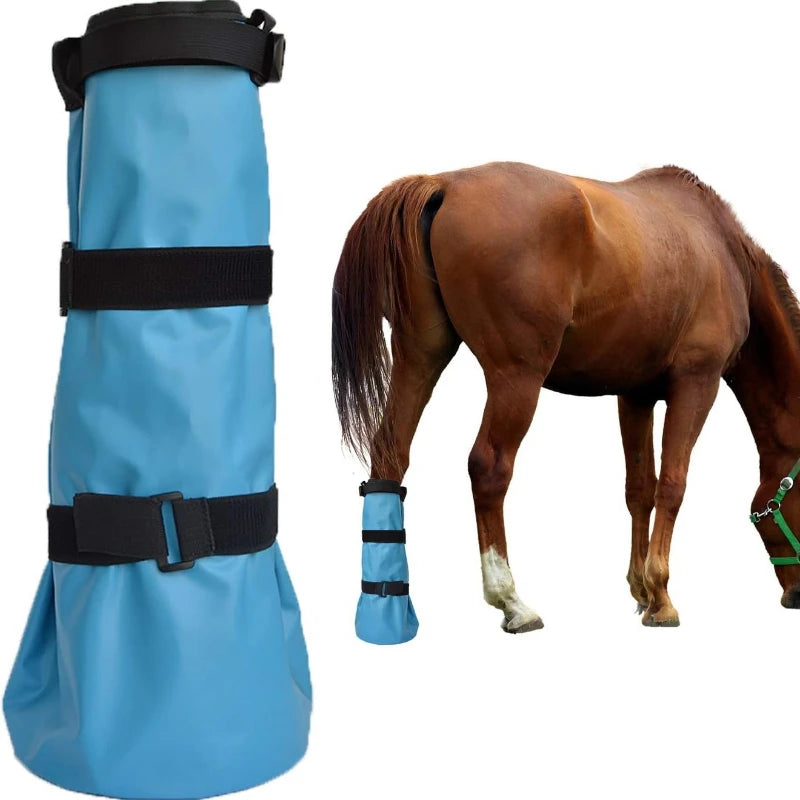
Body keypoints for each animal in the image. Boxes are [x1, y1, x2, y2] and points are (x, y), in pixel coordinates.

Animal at [331, 162, 800, 631]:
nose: (796, 595)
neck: (724, 254)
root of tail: (445, 183)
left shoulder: (635, 396)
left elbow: (640, 488)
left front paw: (641, 590)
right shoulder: (697, 383)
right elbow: (672, 484)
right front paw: (662, 597)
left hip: (420, 358)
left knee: (390, 456)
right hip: (516, 377)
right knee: (488, 467)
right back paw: (511, 600)